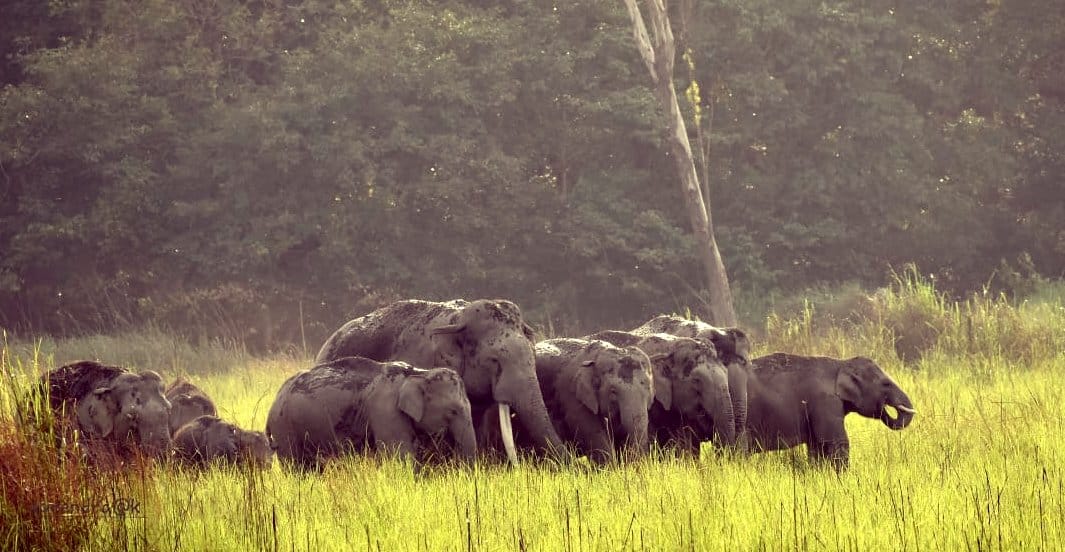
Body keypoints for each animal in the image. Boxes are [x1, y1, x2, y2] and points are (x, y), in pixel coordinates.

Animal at [266, 356, 477, 469]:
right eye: (453, 411)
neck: (419, 373)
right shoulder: (386, 412)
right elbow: (401, 455)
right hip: (284, 427)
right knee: (298, 467)